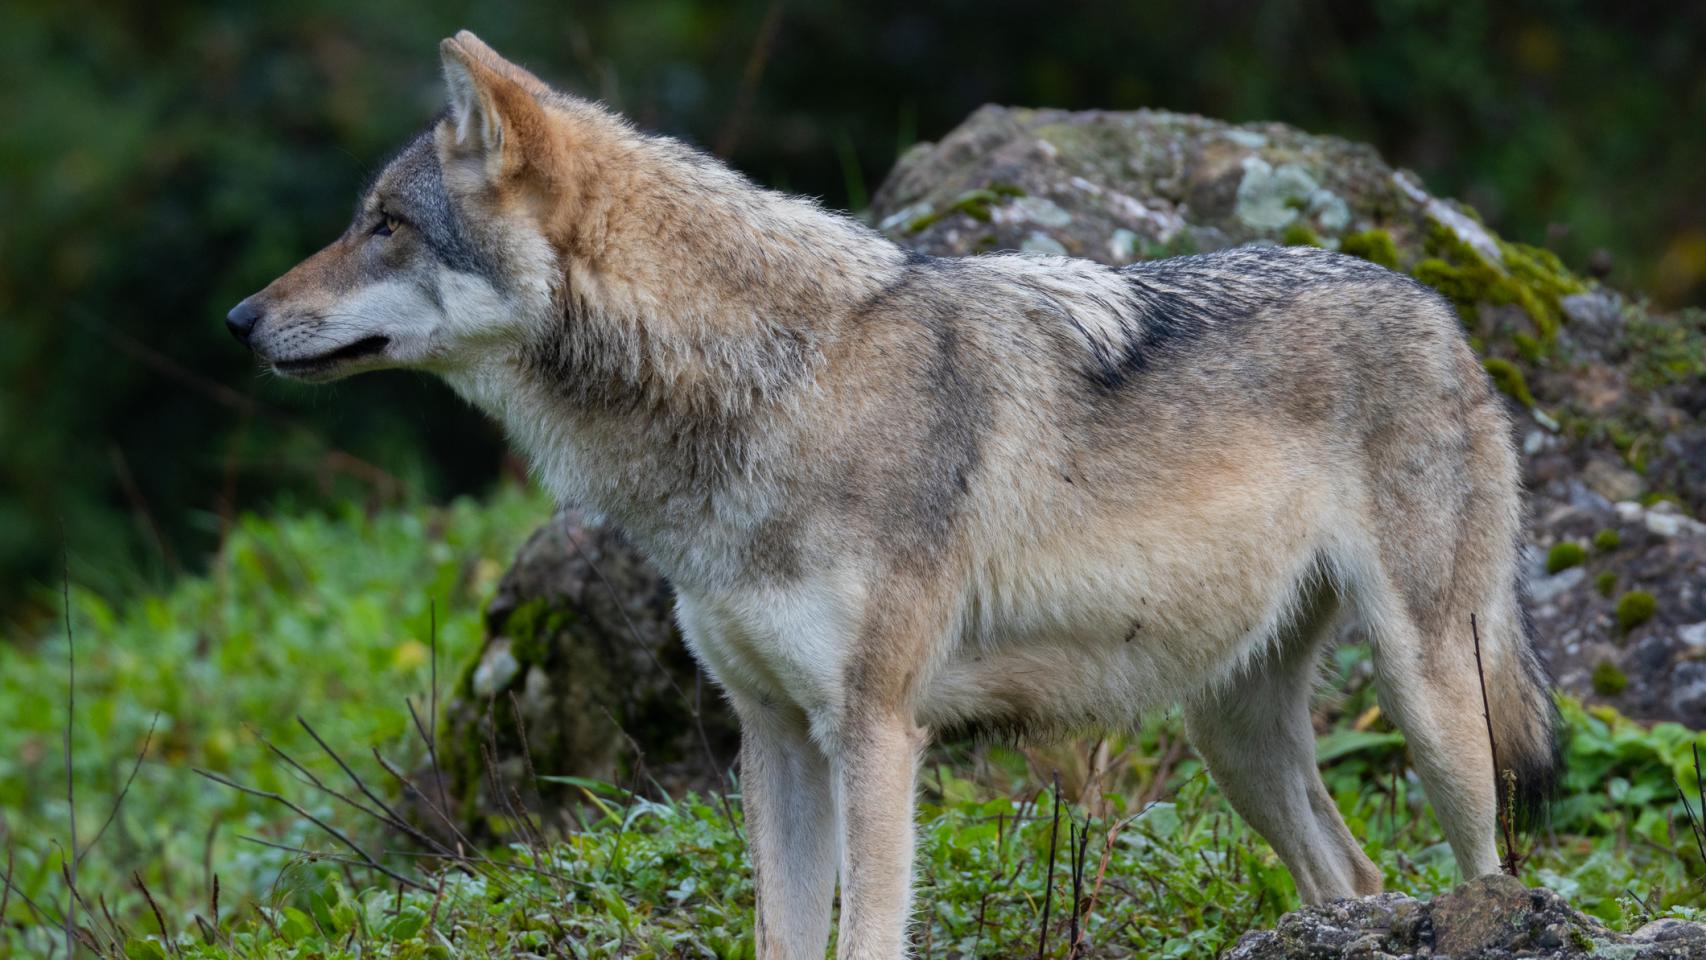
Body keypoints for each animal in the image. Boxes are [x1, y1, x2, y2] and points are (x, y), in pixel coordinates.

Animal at [227, 32, 1557, 959]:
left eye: (384, 225)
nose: (239, 318)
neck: (769, 388)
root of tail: (1438, 301)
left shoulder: (872, 732)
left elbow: (864, 935)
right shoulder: (771, 735)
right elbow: (780, 936)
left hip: (1431, 700)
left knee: (1485, 866)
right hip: (1229, 732)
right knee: (1357, 879)